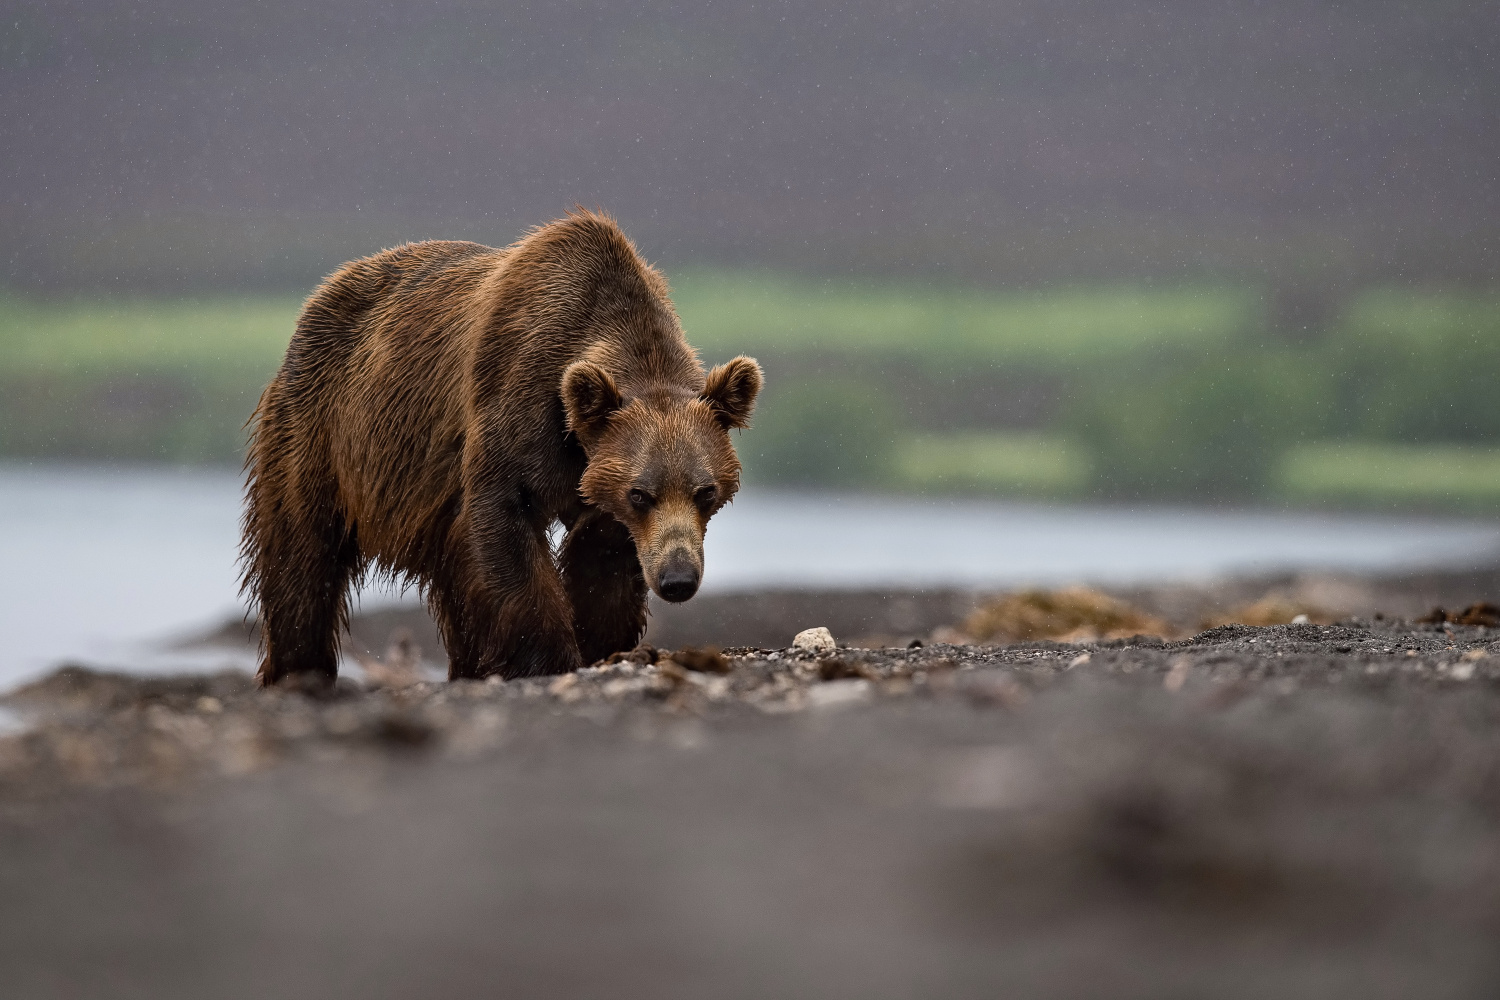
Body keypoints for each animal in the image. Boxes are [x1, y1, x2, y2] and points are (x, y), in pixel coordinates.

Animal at [244, 211, 768, 689]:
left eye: (705, 492)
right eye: (641, 494)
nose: (677, 579)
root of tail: (323, 292)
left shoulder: (595, 474)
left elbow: (602, 557)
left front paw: (601, 641)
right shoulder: (517, 406)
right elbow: (506, 526)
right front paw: (549, 658)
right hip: (324, 429)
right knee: (301, 558)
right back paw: (298, 671)